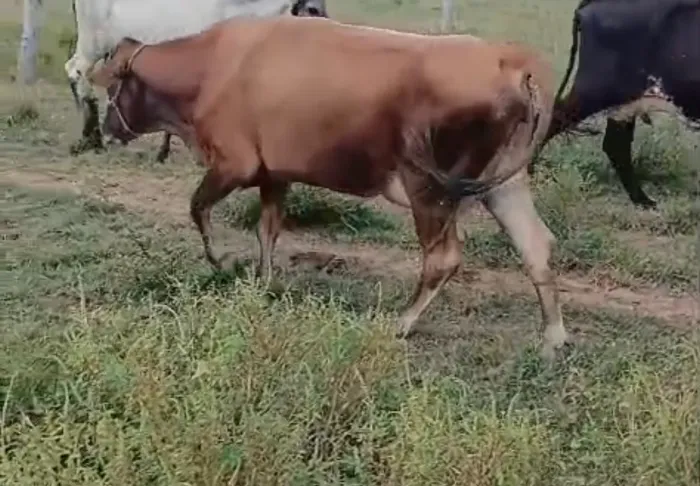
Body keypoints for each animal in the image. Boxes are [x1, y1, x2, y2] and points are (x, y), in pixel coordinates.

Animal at [89, 16, 571, 359]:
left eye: (113, 87)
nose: (107, 131)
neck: (210, 69)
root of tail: (511, 59)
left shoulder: (235, 164)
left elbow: (198, 208)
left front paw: (223, 262)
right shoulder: (274, 172)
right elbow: (267, 229)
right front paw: (263, 282)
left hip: (428, 186)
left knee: (444, 257)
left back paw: (402, 322)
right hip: (503, 184)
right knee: (535, 244)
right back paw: (552, 337)